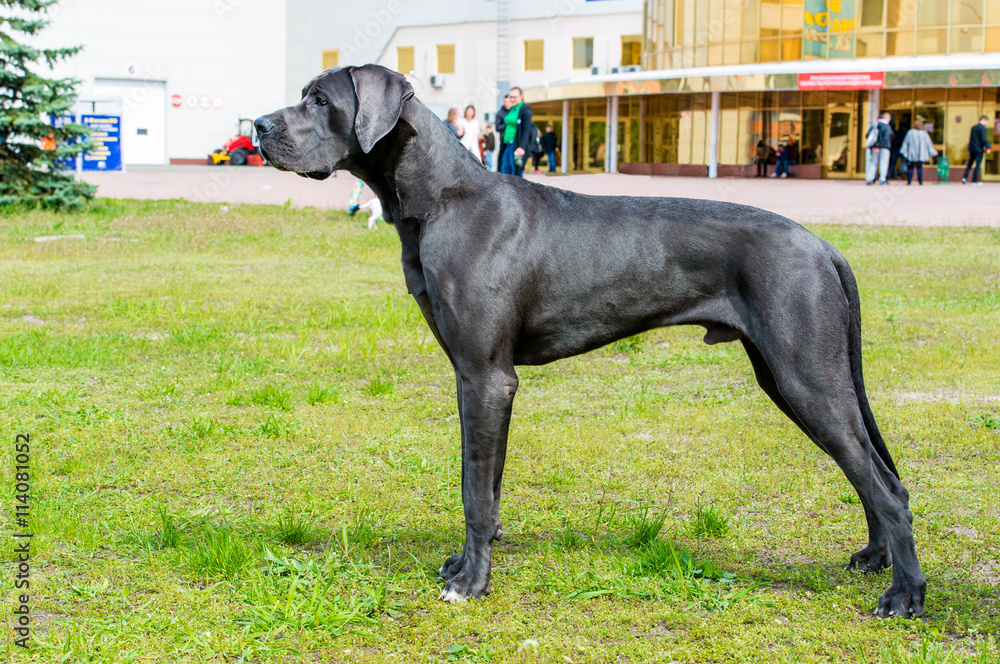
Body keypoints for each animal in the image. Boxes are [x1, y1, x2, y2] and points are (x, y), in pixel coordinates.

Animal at [254, 63, 924, 616]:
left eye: (320, 99)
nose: (258, 125)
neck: (442, 198)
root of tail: (823, 244)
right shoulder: (484, 381)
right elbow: (488, 484)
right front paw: (468, 563)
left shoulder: (484, 377)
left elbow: (473, 491)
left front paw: (471, 583)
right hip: (795, 378)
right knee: (866, 469)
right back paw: (875, 558)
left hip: (806, 375)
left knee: (887, 486)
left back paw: (905, 596)